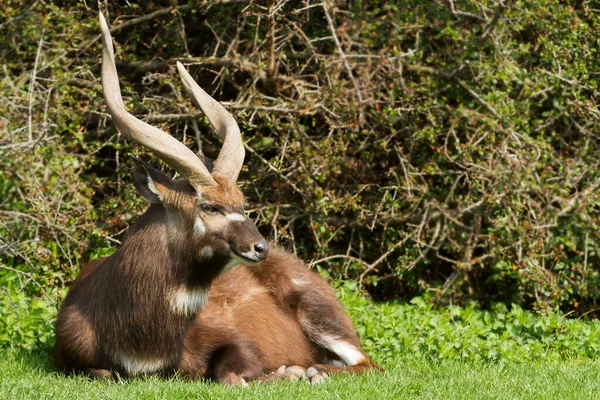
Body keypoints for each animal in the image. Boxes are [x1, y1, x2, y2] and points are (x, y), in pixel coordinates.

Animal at [52, 12, 380, 384]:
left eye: (242, 203)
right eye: (208, 206)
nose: (260, 247)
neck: (141, 345)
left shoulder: (238, 343)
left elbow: (229, 373)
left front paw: (287, 372)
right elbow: (102, 372)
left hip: (321, 314)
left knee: (369, 364)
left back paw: (311, 370)